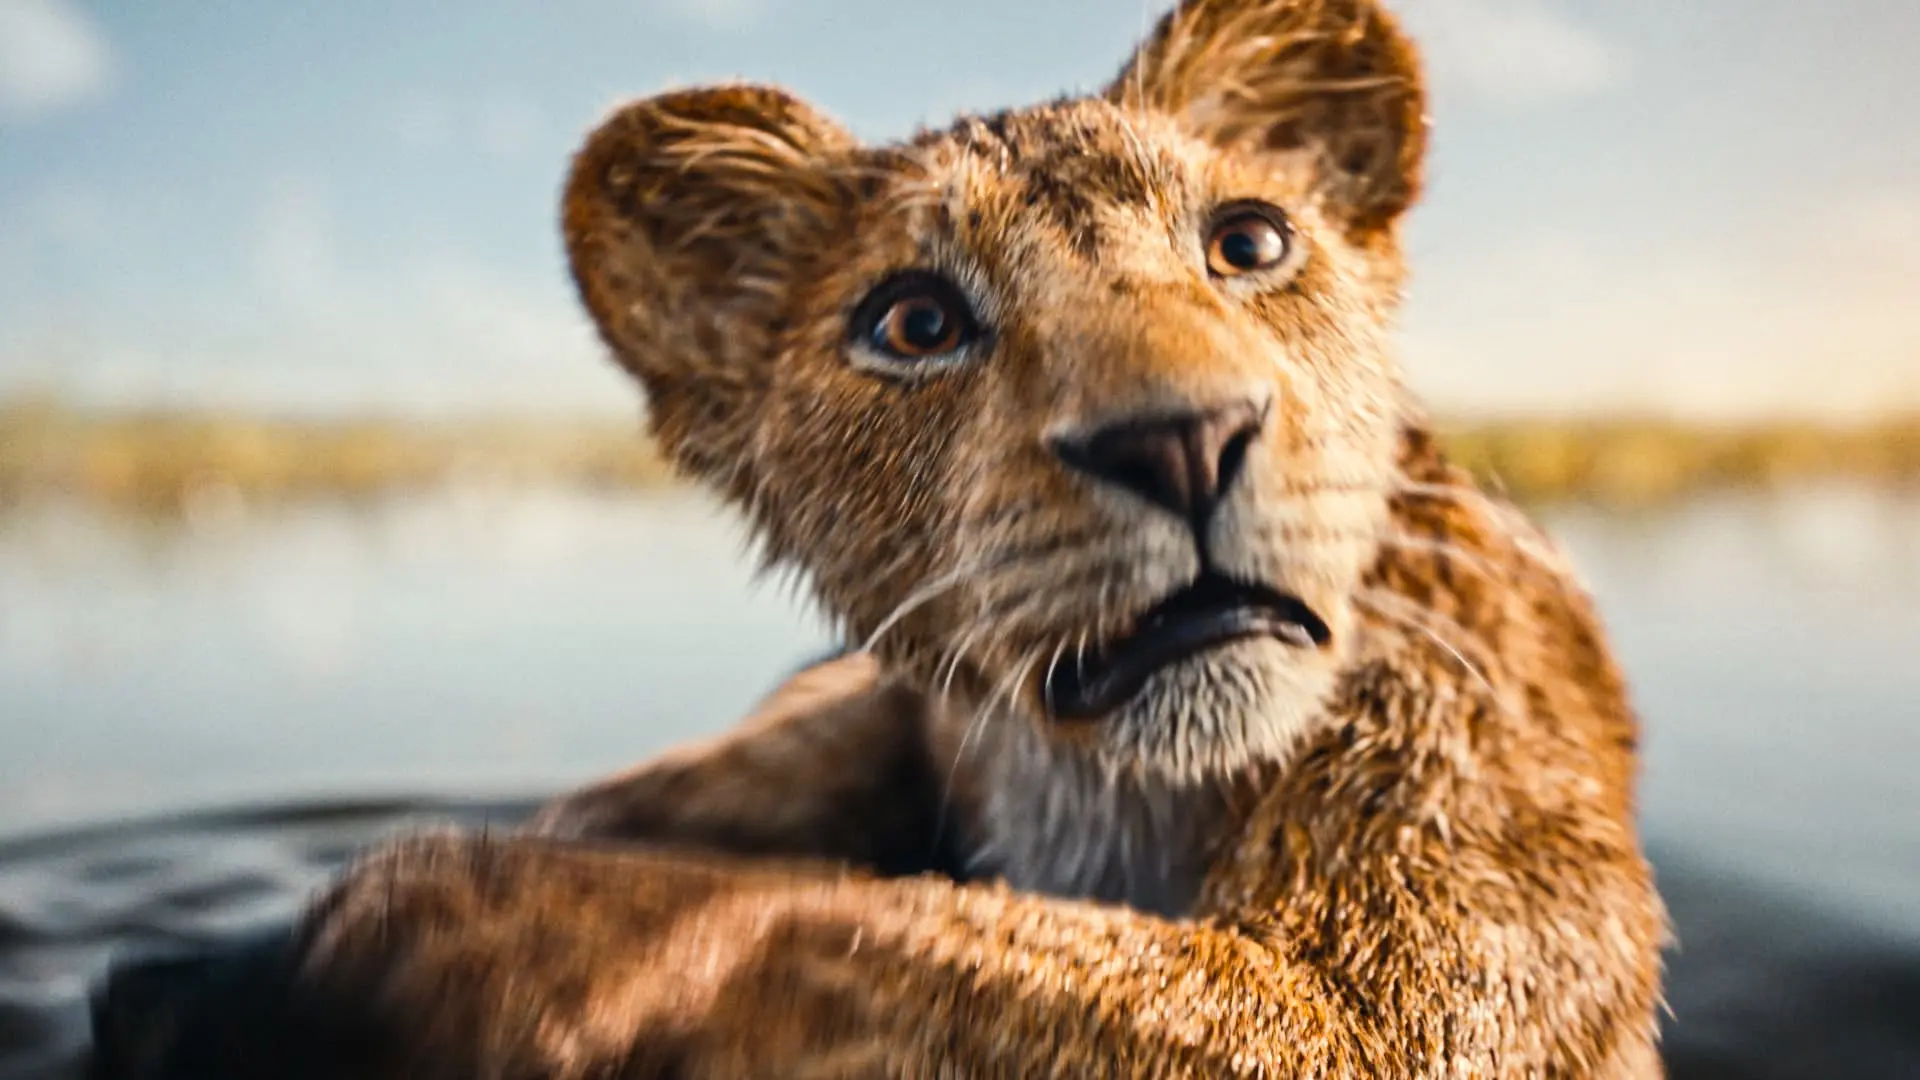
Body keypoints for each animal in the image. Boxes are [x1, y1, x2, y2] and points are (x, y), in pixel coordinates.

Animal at [88, 1, 1668, 1076]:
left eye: (1251, 243)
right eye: (915, 322)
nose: (1182, 440)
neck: (1105, 789)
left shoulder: (1406, 997)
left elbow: (861, 928)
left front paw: (430, 928)